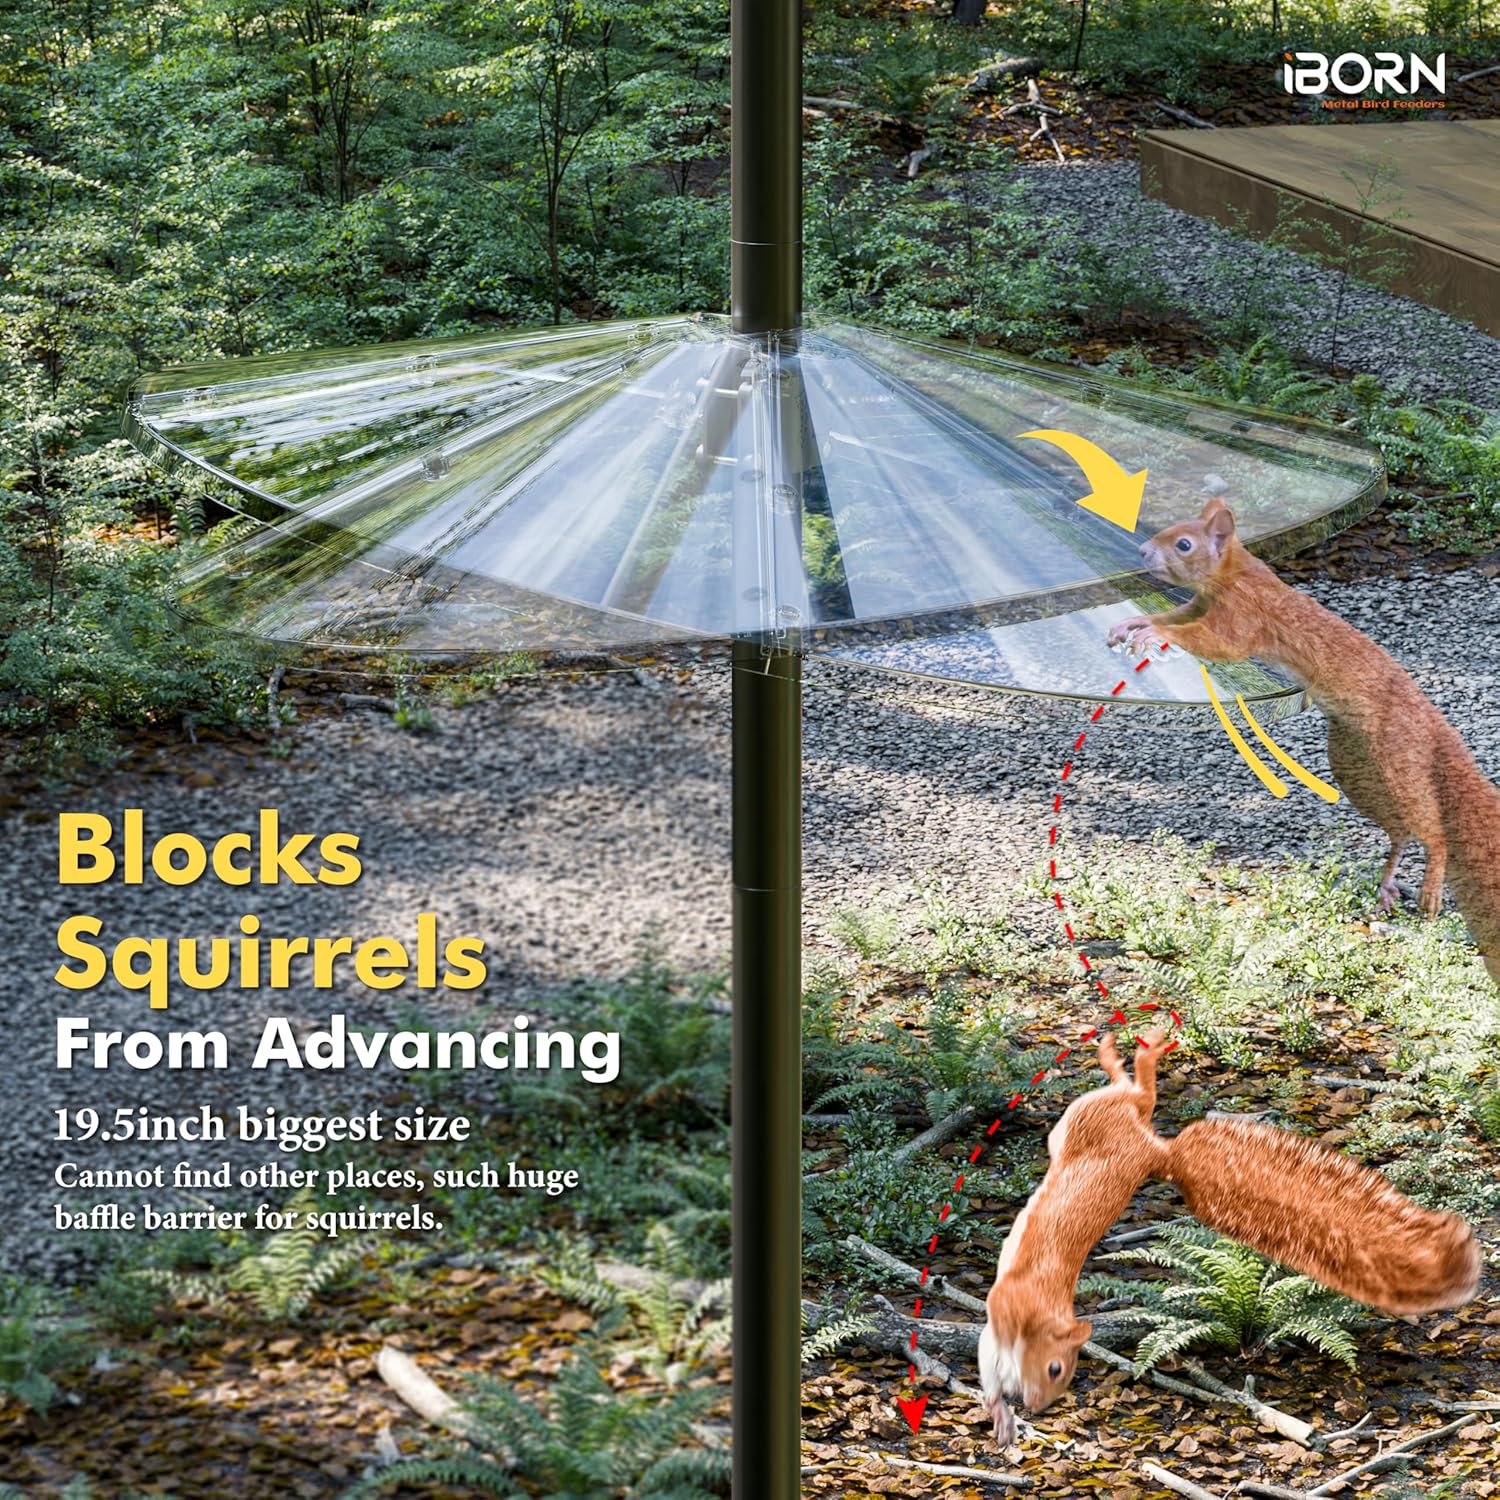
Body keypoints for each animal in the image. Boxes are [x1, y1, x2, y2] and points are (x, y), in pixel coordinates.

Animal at [978, 1030, 1481, 1448]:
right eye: (1055, 1368)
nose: (1038, 1406)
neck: (1042, 1312)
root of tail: (1161, 1153)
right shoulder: (1001, 1321)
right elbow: (988, 1365)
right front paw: (1001, 1414)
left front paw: (1004, 1416)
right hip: (1088, 1119)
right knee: (1136, 1094)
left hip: (1090, 1117)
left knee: (1137, 1092)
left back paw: (1137, 1052)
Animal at [1104, 498, 1500, 982]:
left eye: (1184, 543)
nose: (1142, 552)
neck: (1234, 575)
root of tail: (1433, 725)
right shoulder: (1199, 604)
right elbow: (1172, 615)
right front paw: (1135, 621)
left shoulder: (1243, 615)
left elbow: (1215, 642)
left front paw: (1154, 634)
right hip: (1356, 765)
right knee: (1400, 830)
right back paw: (1389, 881)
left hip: (1397, 756)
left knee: (1430, 828)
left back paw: (1430, 885)